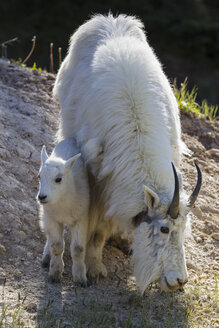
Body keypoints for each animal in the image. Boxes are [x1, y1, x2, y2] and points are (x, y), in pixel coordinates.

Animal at [37, 137, 102, 286]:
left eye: (58, 179)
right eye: (39, 176)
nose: (42, 197)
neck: (63, 204)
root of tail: (70, 140)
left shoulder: (81, 219)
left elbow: (78, 249)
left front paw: (80, 278)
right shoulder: (52, 218)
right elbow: (56, 245)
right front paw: (55, 273)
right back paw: (46, 256)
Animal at [53, 14, 202, 294]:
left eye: (183, 229)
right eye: (164, 229)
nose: (179, 281)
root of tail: (108, 19)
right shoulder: (100, 182)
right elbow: (98, 227)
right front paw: (95, 268)